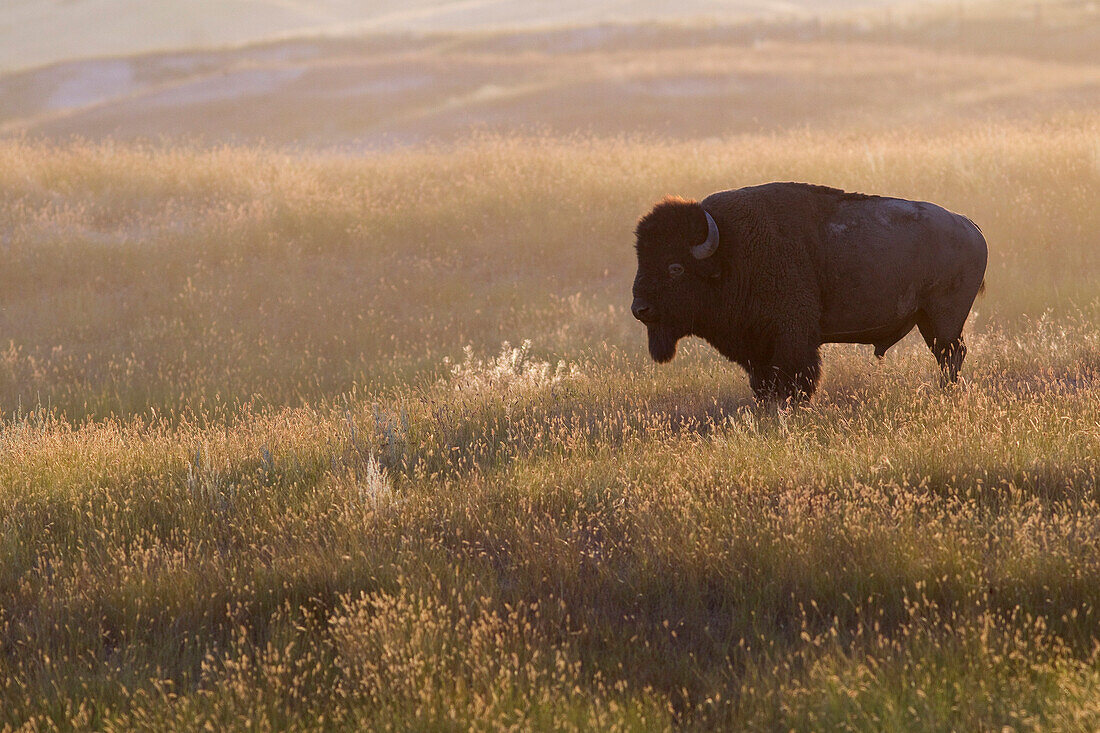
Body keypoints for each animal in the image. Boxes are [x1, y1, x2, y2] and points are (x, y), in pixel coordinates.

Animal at [633, 181, 994, 400]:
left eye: (675, 268)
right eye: (642, 259)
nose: (640, 309)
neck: (730, 251)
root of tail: (970, 226)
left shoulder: (792, 339)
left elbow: (795, 381)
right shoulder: (757, 351)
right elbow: (763, 385)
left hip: (944, 319)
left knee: (950, 355)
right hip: (927, 320)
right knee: (947, 356)